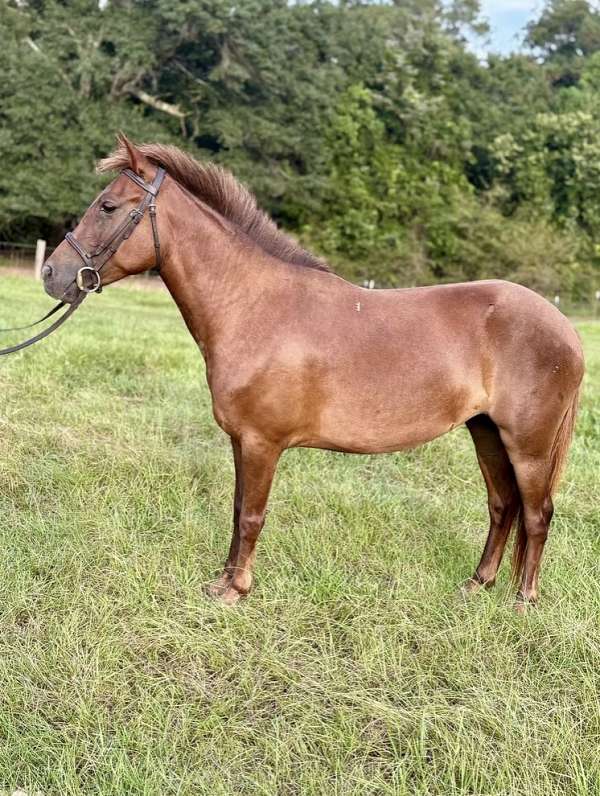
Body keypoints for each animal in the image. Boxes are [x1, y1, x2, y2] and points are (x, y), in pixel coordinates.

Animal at [41, 134, 584, 611]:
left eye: (108, 206)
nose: (52, 274)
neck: (253, 306)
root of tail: (565, 328)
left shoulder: (262, 442)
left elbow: (252, 515)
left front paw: (236, 591)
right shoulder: (241, 441)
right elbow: (236, 509)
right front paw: (222, 581)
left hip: (528, 445)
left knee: (537, 514)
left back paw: (523, 601)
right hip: (486, 432)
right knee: (502, 506)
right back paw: (477, 584)